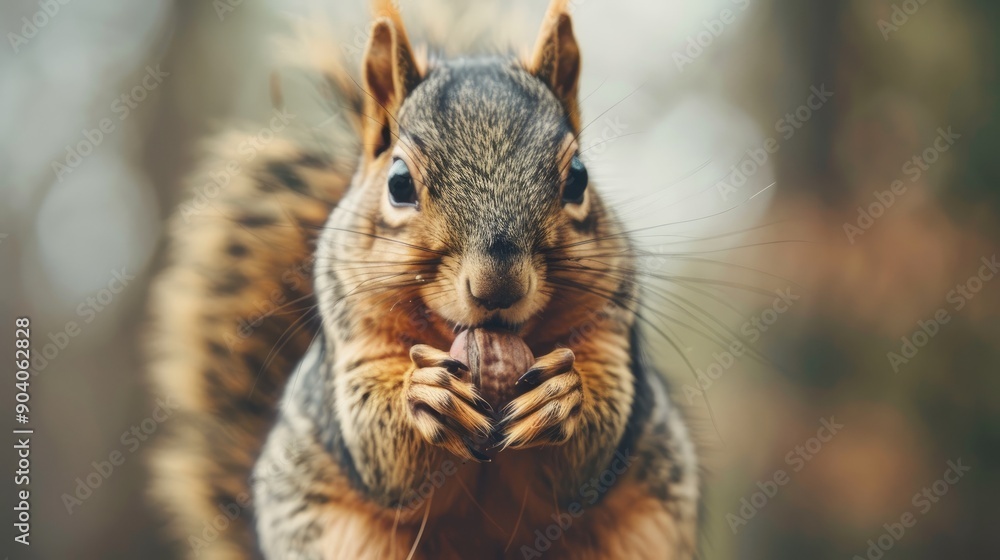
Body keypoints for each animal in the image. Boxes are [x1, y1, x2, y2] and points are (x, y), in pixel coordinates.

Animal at [147, 1, 700, 559]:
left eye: (579, 179)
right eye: (398, 184)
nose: (498, 287)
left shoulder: (609, 330)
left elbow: (593, 445)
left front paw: (561, 395)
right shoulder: (354, 340)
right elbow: (382, 448)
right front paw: (425, 393)